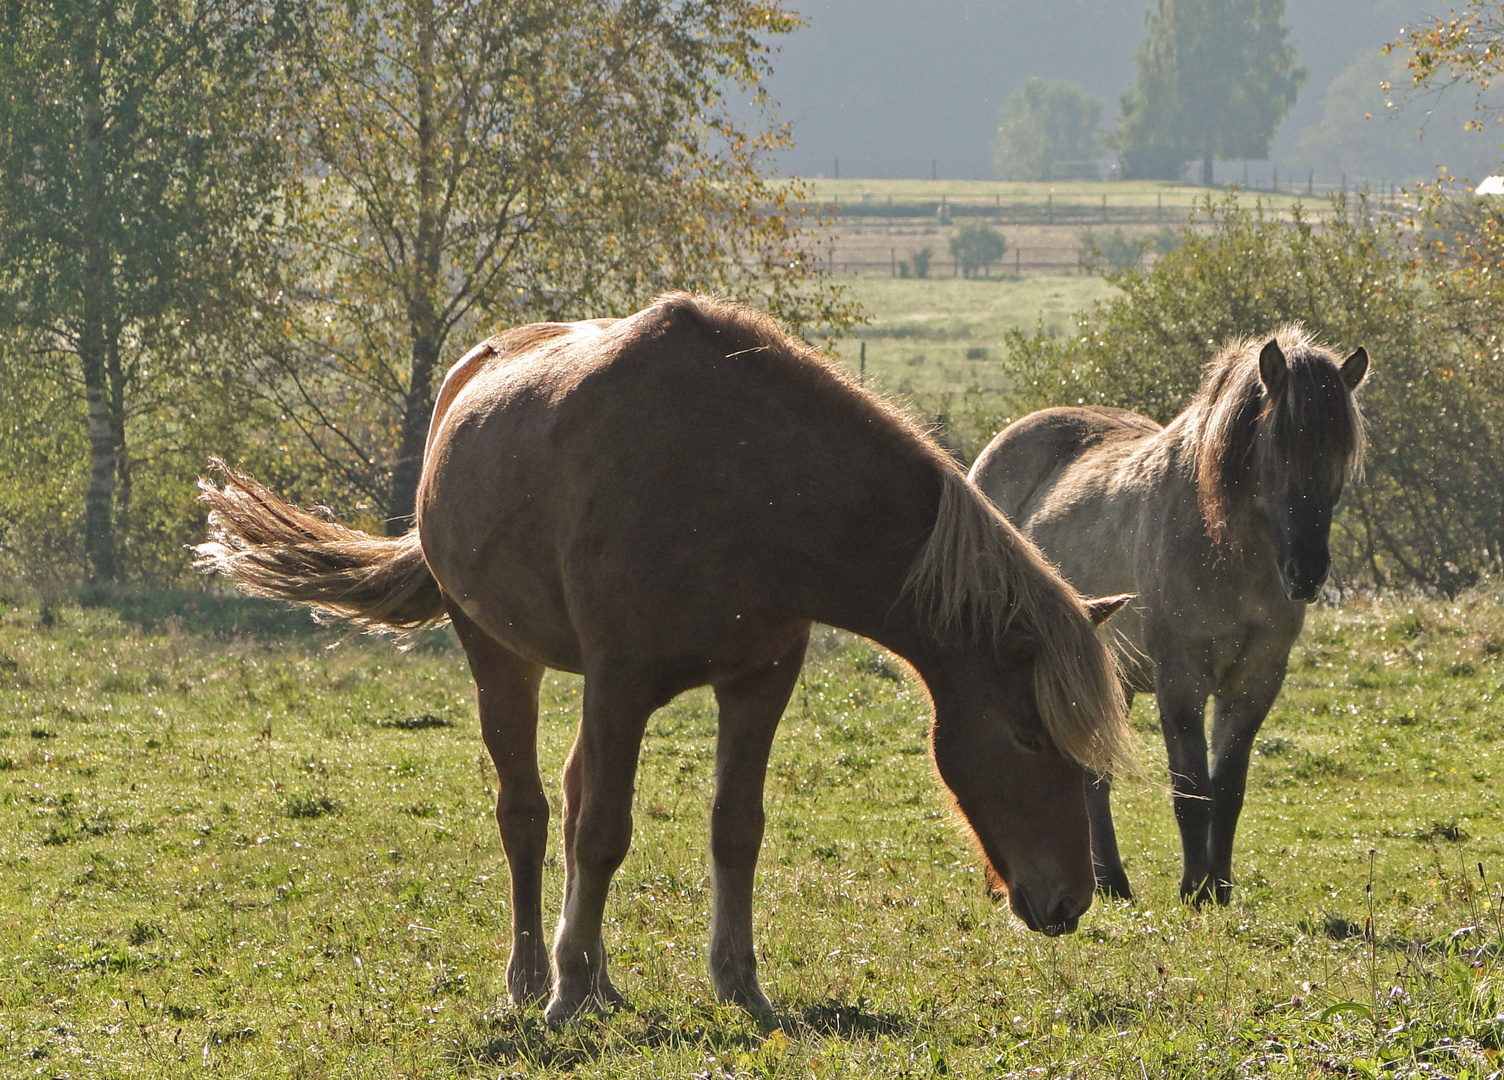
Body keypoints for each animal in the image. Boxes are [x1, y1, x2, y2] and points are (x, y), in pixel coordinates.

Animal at [194, 293, 1131, 1022]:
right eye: (1026, 736)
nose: (1069, 901)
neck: (747, 482)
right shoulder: (620, 681)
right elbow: (603, 833)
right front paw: (567, 992)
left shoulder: (759, 683)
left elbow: (733, 828)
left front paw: (737, 983)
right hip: (499, 655)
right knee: (530, 812)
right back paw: (535, 977)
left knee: (573, 796)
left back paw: (596, 976)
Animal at [968, 327, 1371, 902]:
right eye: (1277, 450)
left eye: (1339, 455)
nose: (1307, 573)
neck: (1226, 547)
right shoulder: (1180, 678)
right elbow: (1191, 790)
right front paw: (1193, 889)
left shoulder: (1255, 681)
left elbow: (1227, 789)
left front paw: (1218, 888)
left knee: (1092, 775)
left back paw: (1110, 881)